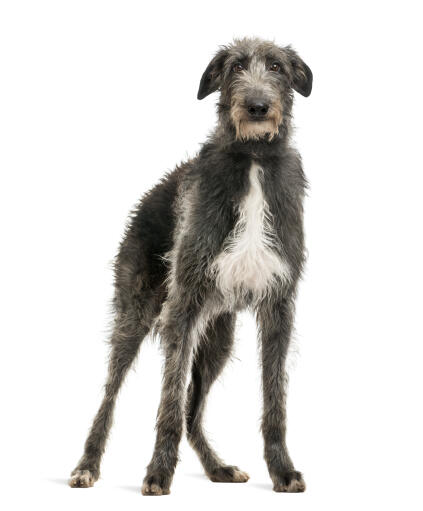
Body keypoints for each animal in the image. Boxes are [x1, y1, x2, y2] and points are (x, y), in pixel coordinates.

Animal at [70, 37, 312, 496]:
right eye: (236, 67)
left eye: (276, 66)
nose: (257, 107)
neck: (253, 158)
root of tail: (149, 194)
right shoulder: (182, 307)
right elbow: (168, 401)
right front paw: (158, 473)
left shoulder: (280, 308)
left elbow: (275, 400)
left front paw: (283, 470)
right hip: (137, 314)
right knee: (112, 394)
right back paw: (87, 465)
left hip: (218, 338)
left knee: (193, 411)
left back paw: (218, 468)